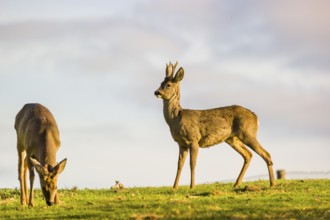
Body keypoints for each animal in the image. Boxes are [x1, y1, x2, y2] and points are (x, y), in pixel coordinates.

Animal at [155, 61, 276, 189]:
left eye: (168, 85)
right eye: (161, 83)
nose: (156, 92)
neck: (176, 120)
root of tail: (255, 116)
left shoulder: (194, 139)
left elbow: (192, 163)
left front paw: (192, 186)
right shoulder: (181, 143)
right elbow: (179, 165)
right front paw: (174, 187)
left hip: (248, 133)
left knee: (266, 153)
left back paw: (272, 183)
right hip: (231, 138)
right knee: (248, 155)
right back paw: (237, 183)